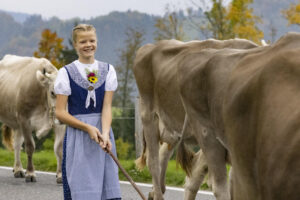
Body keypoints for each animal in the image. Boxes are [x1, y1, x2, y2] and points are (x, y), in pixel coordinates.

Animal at [132, 38, 258, 199]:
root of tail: (151, 46)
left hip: (173, 127)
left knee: (166, 157)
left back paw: (155, 191)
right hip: (149, 114)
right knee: (153, 163)